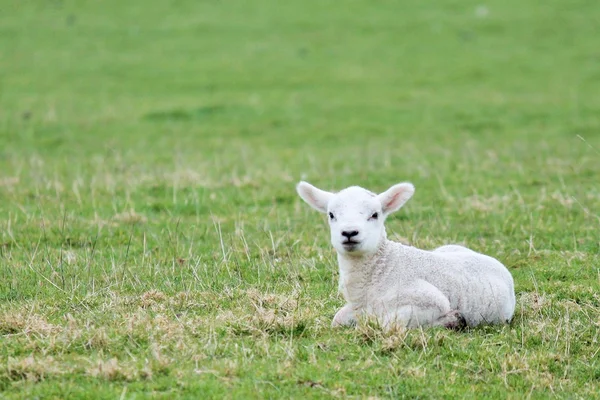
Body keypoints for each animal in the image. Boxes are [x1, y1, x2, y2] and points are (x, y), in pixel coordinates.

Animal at [296, 181, 516, 332]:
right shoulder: (356, 307)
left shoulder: (429, 300)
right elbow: (337, 319)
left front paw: (453, 320)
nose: (349, 232)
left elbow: (387, 323)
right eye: (331, 215)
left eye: (375, 214)